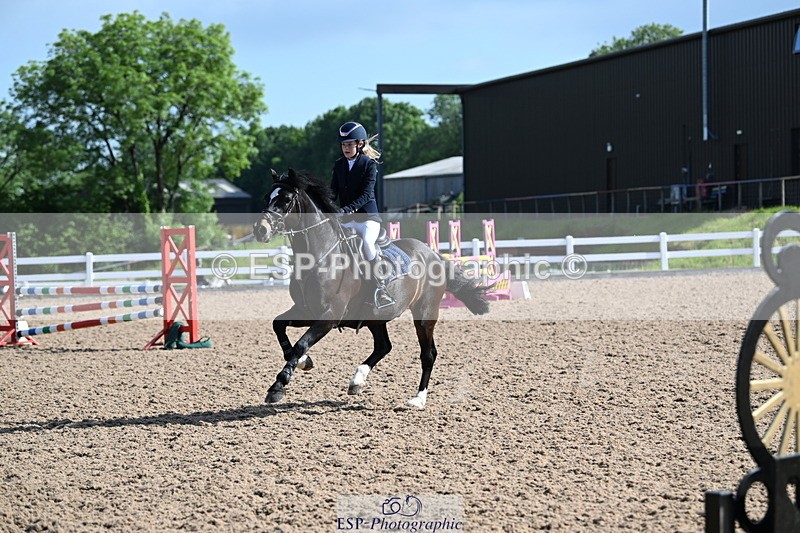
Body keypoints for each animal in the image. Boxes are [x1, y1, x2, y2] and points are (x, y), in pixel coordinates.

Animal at [252, 168, 490, 409]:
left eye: (286, 199)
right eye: (266, 197)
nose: (260, 229)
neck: (320, 257)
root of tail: (432, 253)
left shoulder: (329, 315)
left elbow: (301, 344)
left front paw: (278, 386)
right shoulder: (306, 311)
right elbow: (279, 326)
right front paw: (303, 362)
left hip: (425, 314)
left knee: (428, 353)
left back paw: (418, 399)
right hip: (376, 317)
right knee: (384, 346)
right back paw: (357, 381)